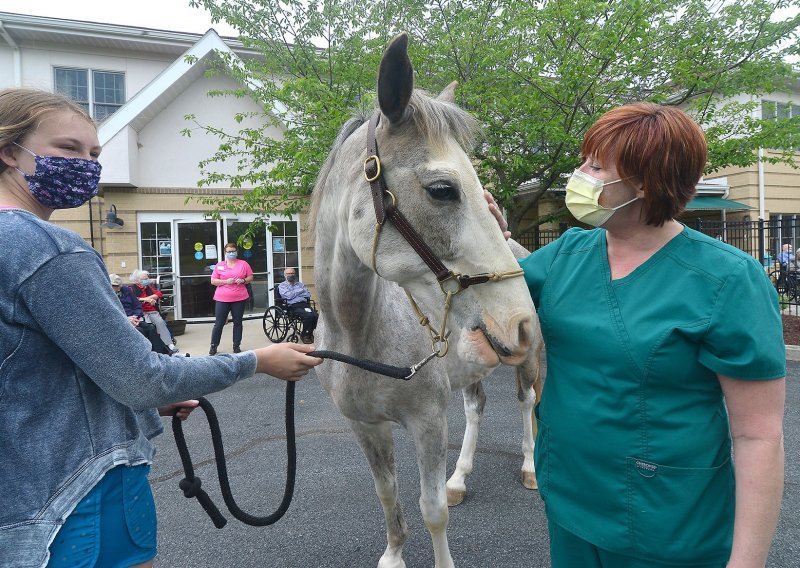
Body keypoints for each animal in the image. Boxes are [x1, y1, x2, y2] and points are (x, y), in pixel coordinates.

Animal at [310, 34, 540, 568]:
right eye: (442, 189)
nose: (519, 320)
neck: (359, 333)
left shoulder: (428, 421)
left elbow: (432, 509)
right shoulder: (365, 426)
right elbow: (388, 494)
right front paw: (394, 554)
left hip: (526, 362)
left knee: (526, 404)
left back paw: (529, 467)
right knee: (477, 407)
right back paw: (460, 477)